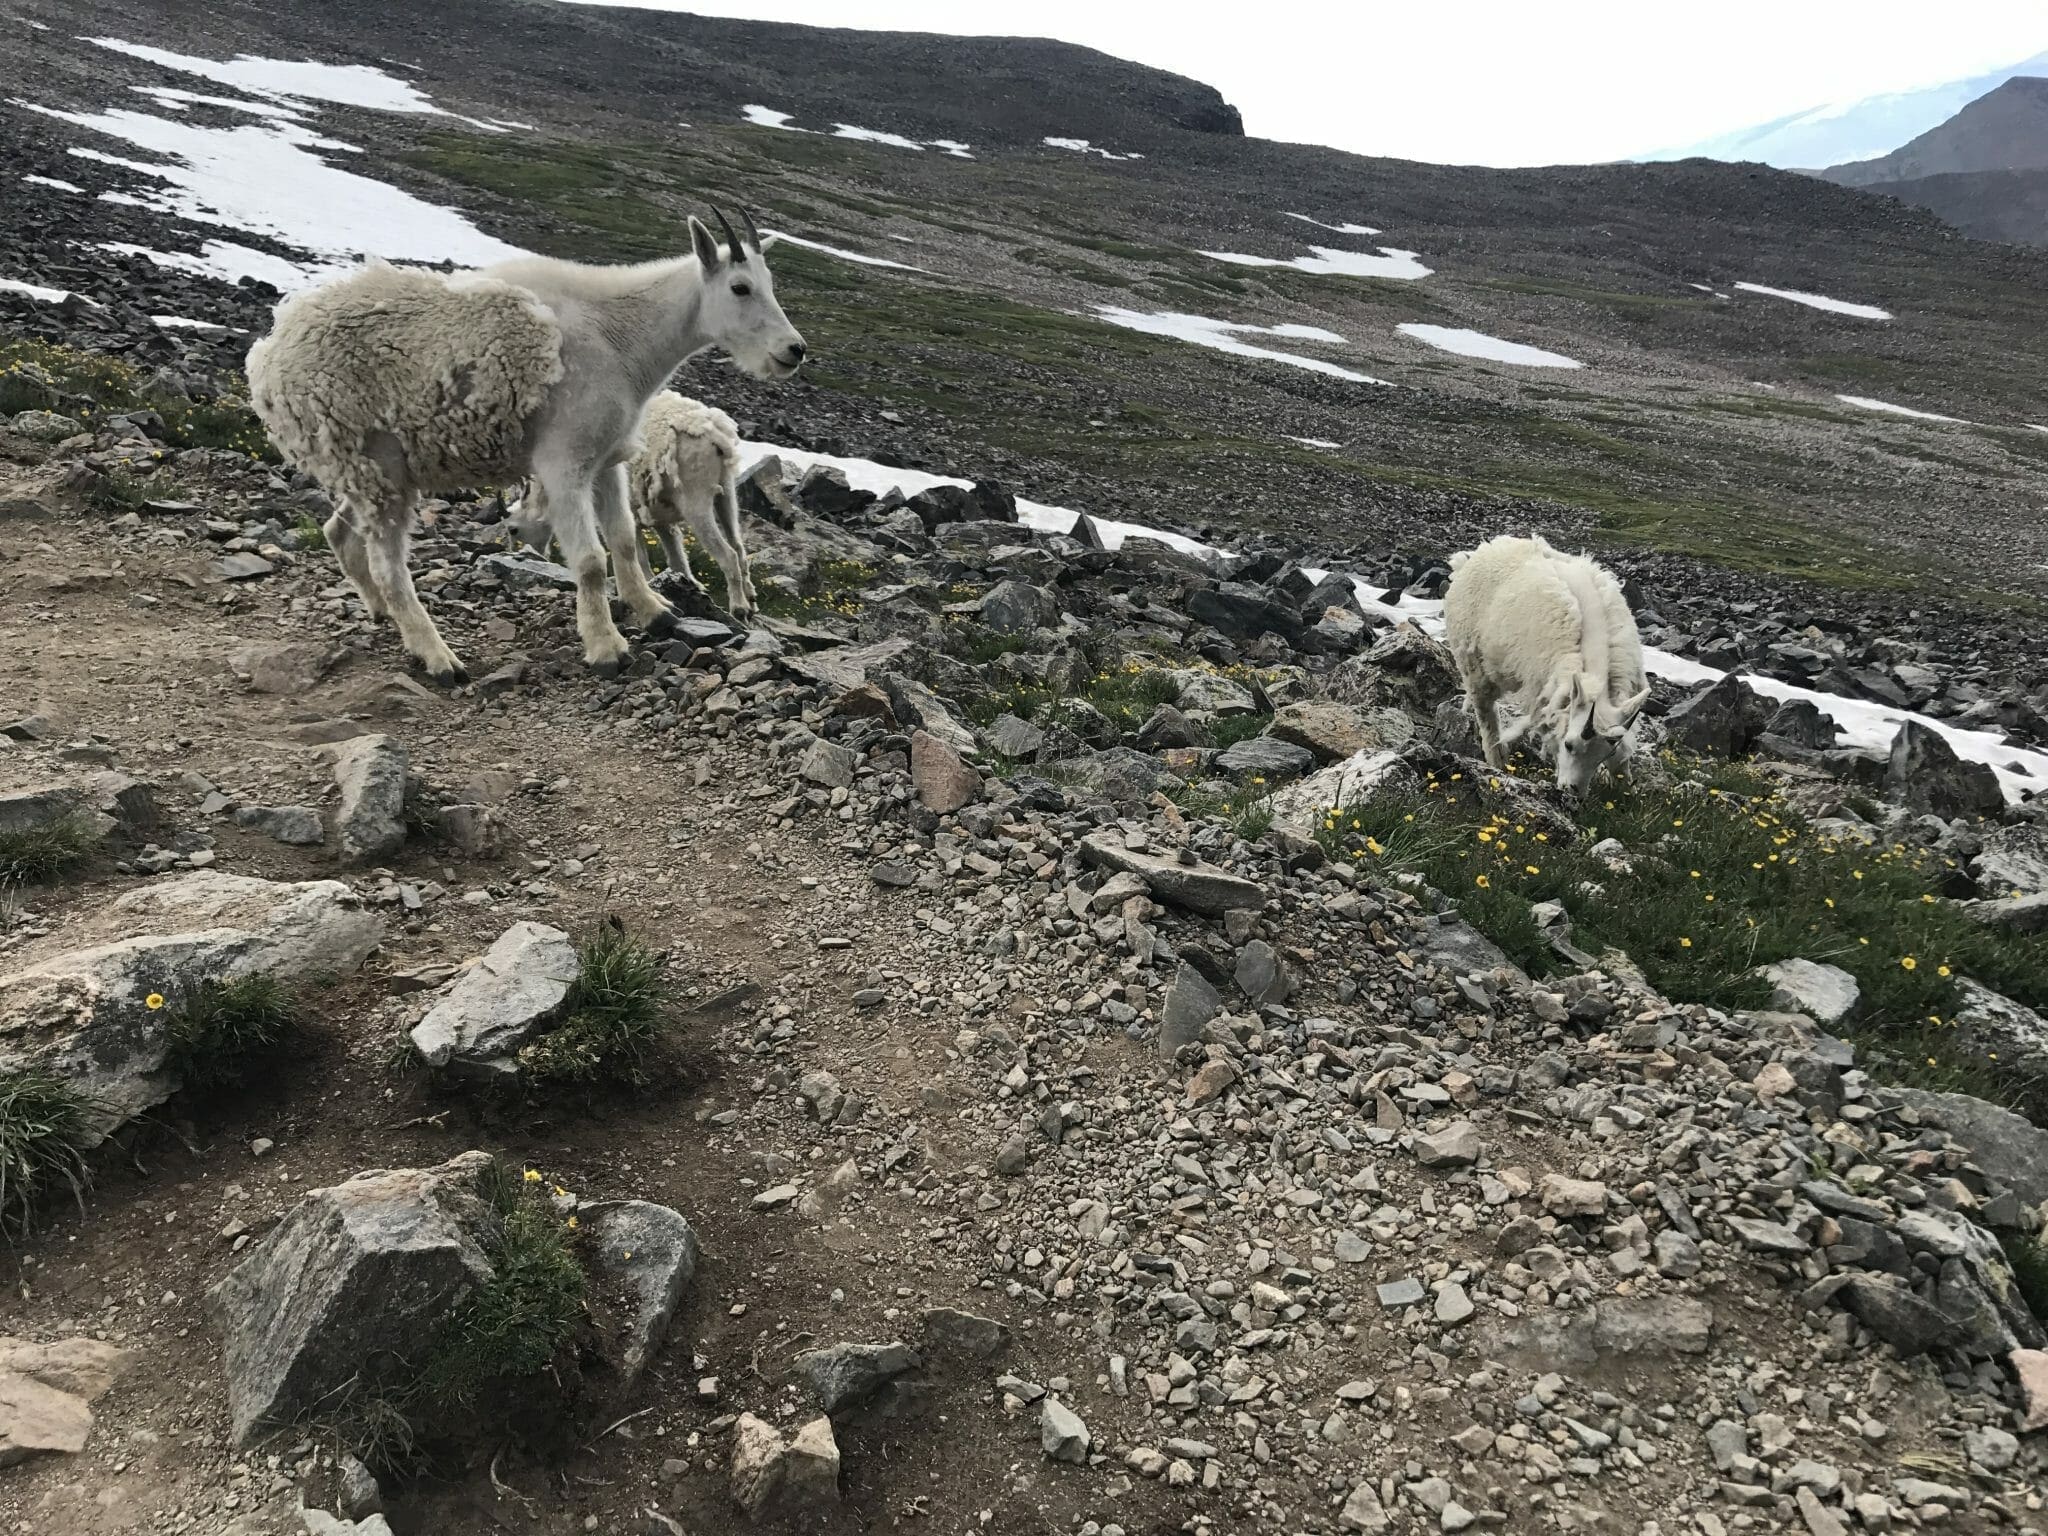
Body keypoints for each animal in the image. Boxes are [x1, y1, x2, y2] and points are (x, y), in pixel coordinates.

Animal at [507, 387, 757, 618]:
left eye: (513, 530)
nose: (536, 555)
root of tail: (715, 434)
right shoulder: (658, 517)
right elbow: (677, 559)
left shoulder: (633, 514)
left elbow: (642, 560)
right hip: (726, 490)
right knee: (738, 545)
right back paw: (751, 600)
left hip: (695, 496)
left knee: (728, 553)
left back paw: (739, 608)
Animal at [1441, 532, 1646, 794]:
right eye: (1569, 745)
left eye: (1604, 754)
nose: (1573, 791)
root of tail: (1472, 557)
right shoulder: (1549, 691)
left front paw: (1627, 789)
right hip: (1472, 660)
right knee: (1486, 712)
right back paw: (1497, 759)